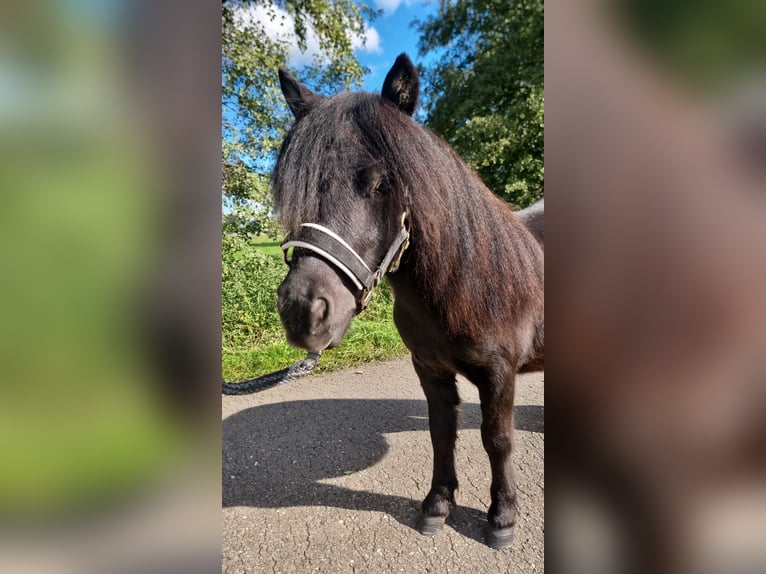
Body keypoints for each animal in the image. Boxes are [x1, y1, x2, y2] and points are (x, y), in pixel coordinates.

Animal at [272, 55, 544, 552]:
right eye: (297, 186)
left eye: (383, 184)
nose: (303, 311)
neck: (465, 283)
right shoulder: (429, 368)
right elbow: (442, 433)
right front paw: (437, 504)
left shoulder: (500, 373)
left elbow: (497, 439)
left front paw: (502, 516)